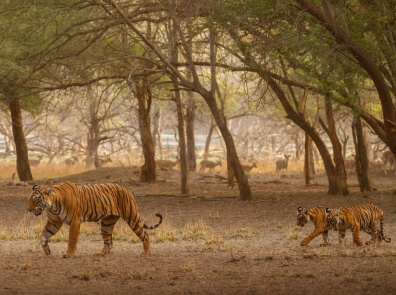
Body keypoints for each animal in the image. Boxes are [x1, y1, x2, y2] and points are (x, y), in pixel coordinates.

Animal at [27, 182, 162, 258]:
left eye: (35, 199)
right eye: (30, 200)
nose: (28, 210)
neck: (52, 205)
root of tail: (126, 189)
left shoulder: (75, 221)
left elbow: (72, 239)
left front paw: (69, 254)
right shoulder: (54, 222)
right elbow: (43, 235)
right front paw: (47, 251)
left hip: (132, 217)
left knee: (145, 235)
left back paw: (146, 253)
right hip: (107, 223)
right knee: (108, 242)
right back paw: (101, 254)